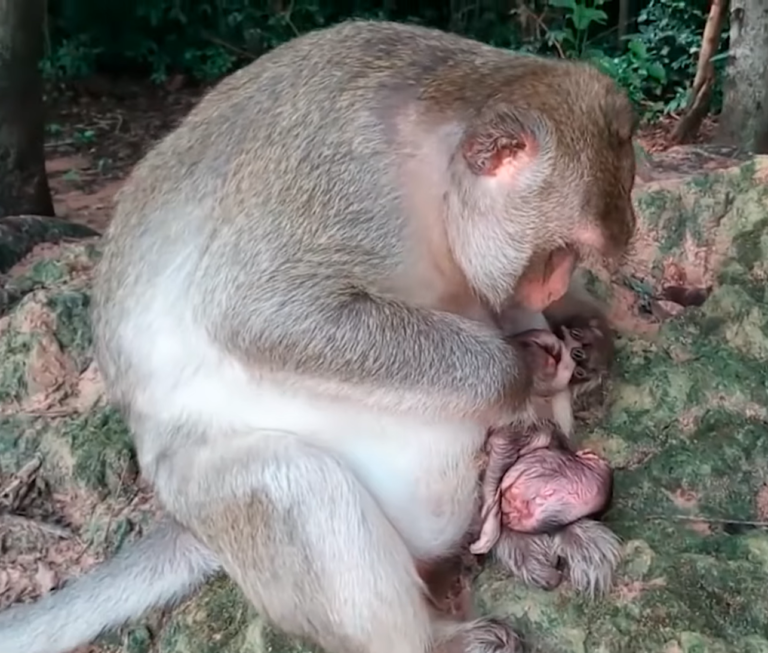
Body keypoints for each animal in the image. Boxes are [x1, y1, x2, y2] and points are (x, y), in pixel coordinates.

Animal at [0, 19, 637, 653]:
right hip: (215, 503)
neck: (432, 176)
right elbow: (260, 312)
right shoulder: (350, 179)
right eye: (557, 251)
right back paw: (443, 629)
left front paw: (584, 334)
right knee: (295, 485)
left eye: (574, 255)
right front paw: (523, 370)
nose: (556, 286)